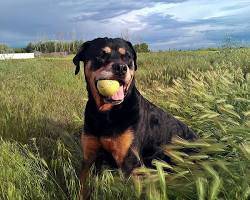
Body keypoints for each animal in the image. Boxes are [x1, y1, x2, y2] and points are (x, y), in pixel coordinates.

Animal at [73, 36, 197, 184]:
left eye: (127, 57)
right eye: (101, 55)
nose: (121, 68)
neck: (105, 114)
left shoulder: (129, 161)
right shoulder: (88, 157)